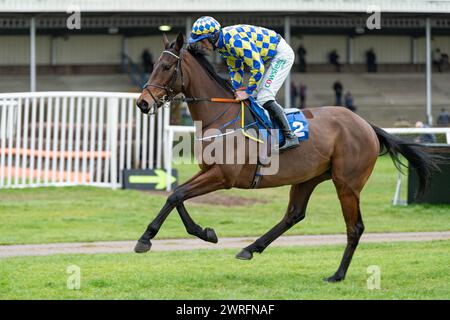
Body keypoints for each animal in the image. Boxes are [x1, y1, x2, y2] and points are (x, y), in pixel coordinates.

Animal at [135, 33, 438, 282]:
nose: (142, 103)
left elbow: (177, 196)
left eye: (165, 67)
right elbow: (176, 195)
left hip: (347, 183)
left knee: (355, 227)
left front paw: (146, 239)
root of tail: (366, 124)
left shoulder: (223, 176)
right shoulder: (209, 170)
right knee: (294, 214)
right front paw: (205, 232)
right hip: (308, 177)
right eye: (153, 65)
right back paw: (251, 248)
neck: (221, 117)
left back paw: (337, 275)